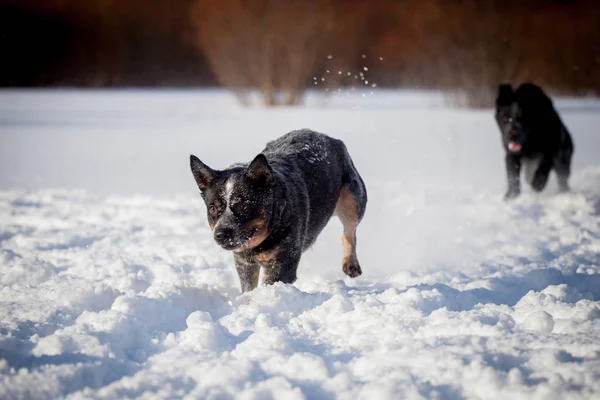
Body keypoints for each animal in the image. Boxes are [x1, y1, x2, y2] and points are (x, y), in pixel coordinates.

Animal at [189, 130, 366, 292]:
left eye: (244, 206)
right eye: (213, 208)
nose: (221, 234)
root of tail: (328, 137)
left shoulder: (283, 263)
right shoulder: (244, 262)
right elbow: (248, 287)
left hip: (354, 199)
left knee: (349, 231)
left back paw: (351, 264)